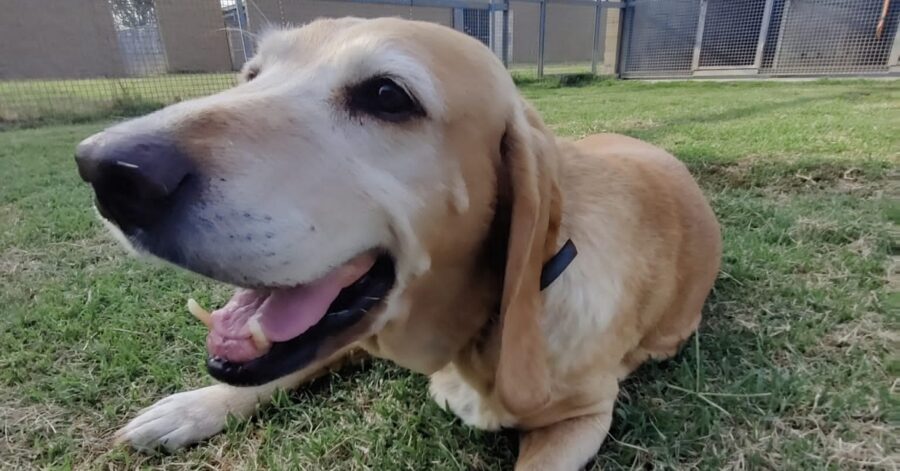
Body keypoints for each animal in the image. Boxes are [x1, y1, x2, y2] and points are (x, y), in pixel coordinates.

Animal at [74, 16, 720, 470]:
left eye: (388, 96)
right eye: (252, 75)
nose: (106, 170)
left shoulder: (584, 418)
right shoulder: (348, 337)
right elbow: (281, 370)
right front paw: (191, 408)